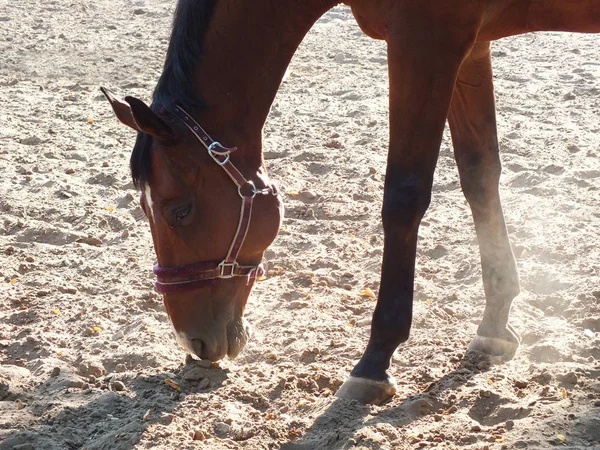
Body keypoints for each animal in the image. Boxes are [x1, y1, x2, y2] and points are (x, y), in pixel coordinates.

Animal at [103, 0, 600, 406]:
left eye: (180, 210)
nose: (194, 343)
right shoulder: (471, 45)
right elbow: (479, 176)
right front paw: (494, 324)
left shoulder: (427, 40)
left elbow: (404, 195)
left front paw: (376, 357)